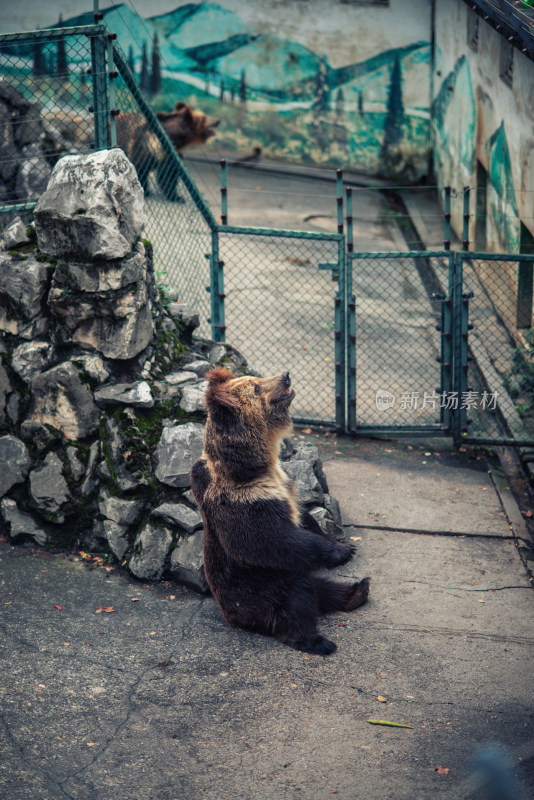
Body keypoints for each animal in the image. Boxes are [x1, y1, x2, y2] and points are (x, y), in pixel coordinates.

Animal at [193, 368, 372, 656]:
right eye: (255, 387)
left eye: (256, 379)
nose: (286, 375)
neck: (258, 464)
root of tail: (233, 618)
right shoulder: (244, 498)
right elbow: (271, 539)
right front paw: (341, 551)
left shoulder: (286, 481)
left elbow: (303, 516)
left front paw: (344, 544)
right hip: (258, 588)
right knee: (295, 599)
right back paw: (317, 641)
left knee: (320, 587)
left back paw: (357, 591)